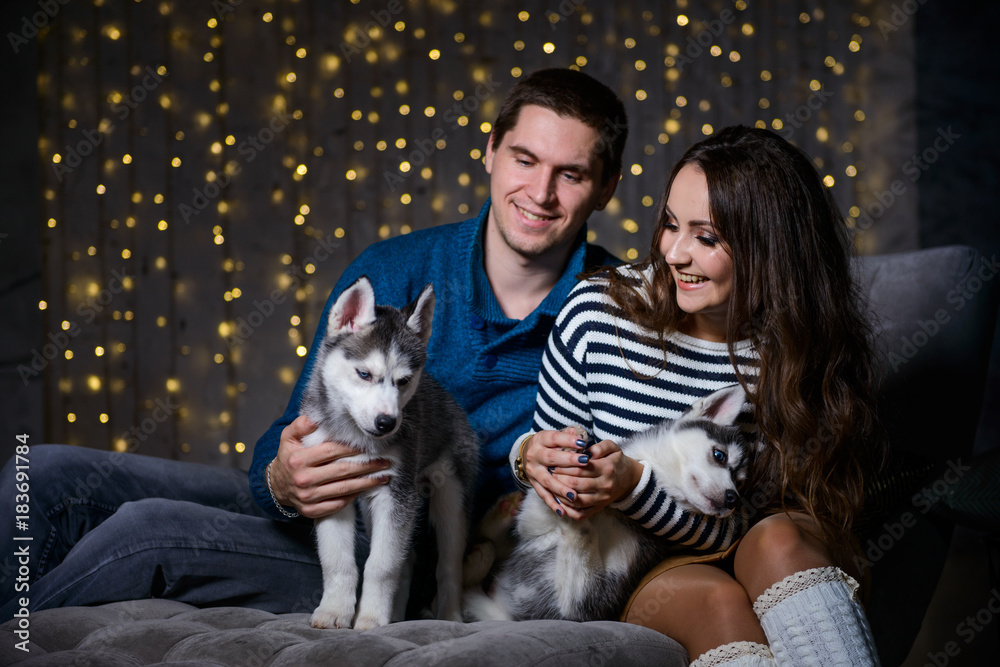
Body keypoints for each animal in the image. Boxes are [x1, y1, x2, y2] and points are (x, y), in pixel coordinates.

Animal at [300, 276, 480, 632]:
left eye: (404, 381)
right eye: (364, 374)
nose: (387, 423)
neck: (355, 437)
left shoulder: (396, 494)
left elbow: (381, 564)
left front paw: (370, 618)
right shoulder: (328, 489)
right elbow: (338, 561)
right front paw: (335, 611)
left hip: (451, 497)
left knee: (448, 565)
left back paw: (449, 615)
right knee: (406, 558)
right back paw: (396, 614)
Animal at [466, 384, 752, 624]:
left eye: (739, 483)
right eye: (719, 455)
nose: (733, 499)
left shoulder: (582, 607)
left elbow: (583, 532)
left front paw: (576, 511)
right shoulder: (536, 527)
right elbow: (538, 507)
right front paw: (570, 440)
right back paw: (500, 516)